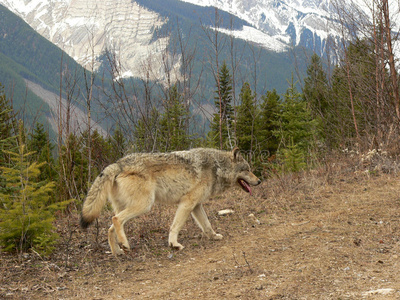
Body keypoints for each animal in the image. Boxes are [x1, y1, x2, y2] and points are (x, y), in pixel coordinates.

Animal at [80, 148, 262, 255]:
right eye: (247, 170)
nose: (259, 181)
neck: (217, 168)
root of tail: (118, 164)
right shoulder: (187, 203)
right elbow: (176, 226)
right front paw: (174, 244)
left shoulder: (196, 206)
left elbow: (207, 225)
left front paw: (214, 236)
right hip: (144, 205)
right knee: (116, 219)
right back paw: (125, 245)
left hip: (128, 206)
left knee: (110, 228)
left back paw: (117, 251)